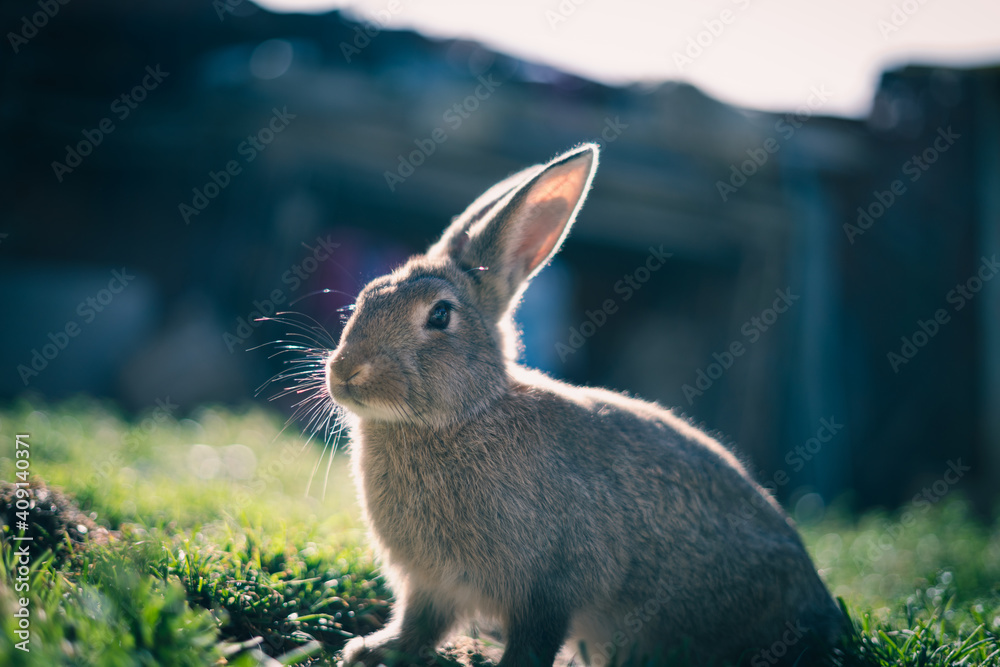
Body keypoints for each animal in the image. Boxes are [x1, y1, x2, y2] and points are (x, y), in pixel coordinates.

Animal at [327, 144, 845, 667]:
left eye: (439, 315)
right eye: (366, 296)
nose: (345, 371)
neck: (468, 413)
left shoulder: (552, 586)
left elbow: (533, 640)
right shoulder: (430, 585)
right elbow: (421, 624)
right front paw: (371, 651)